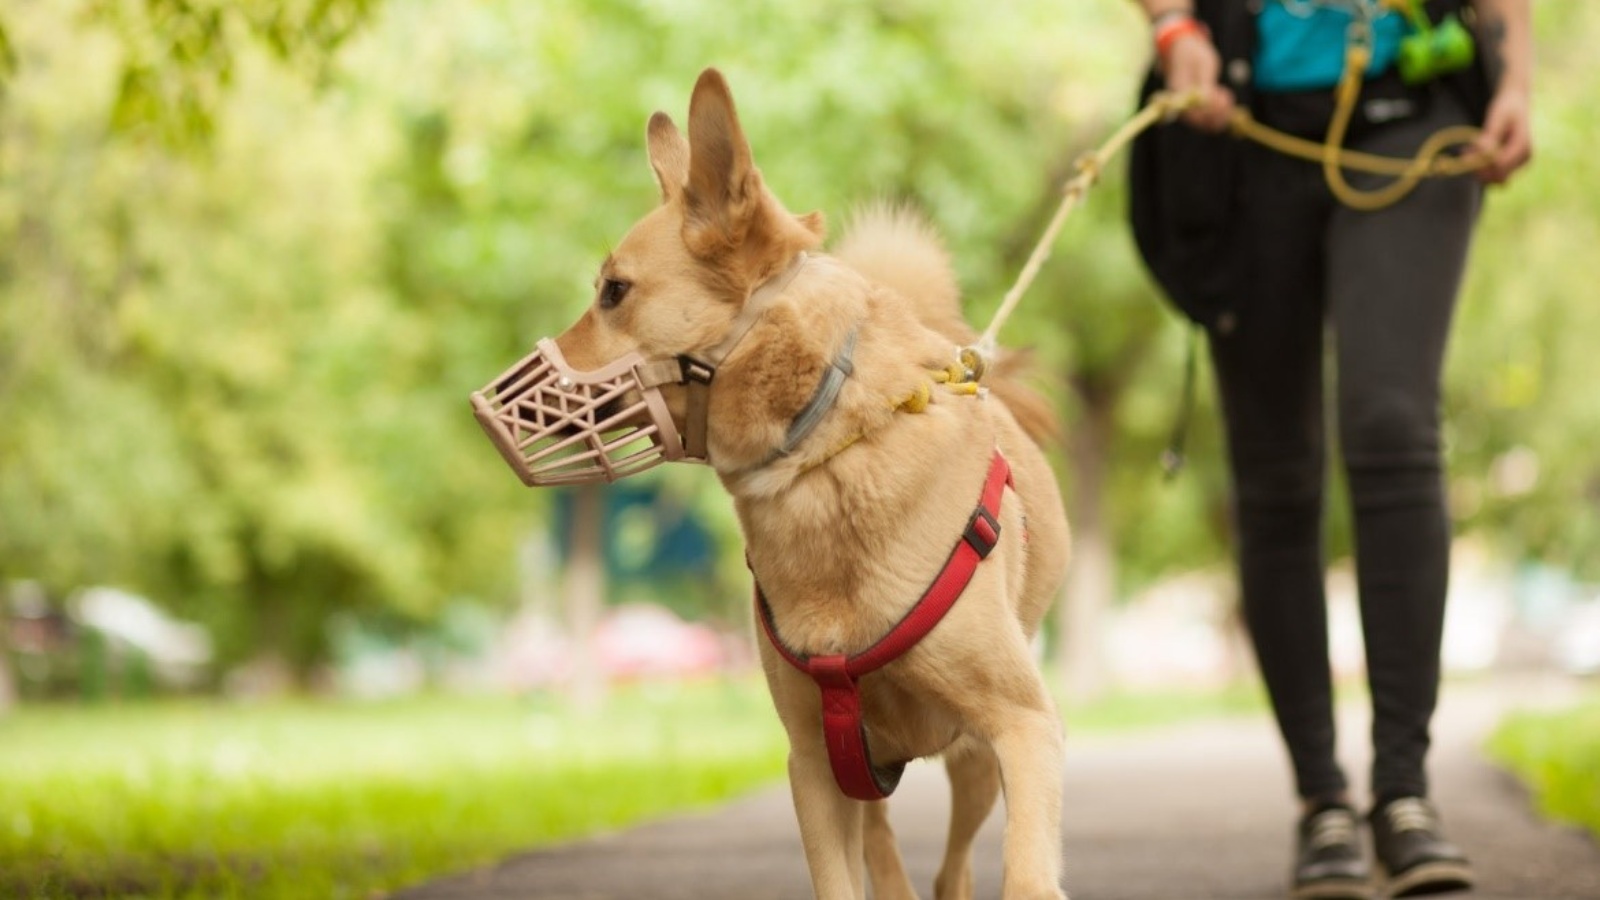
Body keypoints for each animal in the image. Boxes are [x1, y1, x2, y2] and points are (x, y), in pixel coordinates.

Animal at [531, 71, 1068, 896]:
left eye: (614, 291)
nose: (494, 402)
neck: (823, 455)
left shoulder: (1023, 727)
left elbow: (1028, 873)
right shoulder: (816, 764)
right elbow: (840, 879)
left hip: (975, 760)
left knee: (952, 867)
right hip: (864, 765)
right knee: (887, 854)